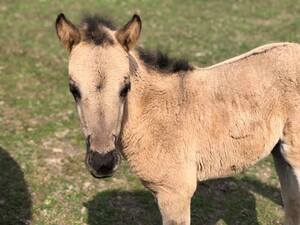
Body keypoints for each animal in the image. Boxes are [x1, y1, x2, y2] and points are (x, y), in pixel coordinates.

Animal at [55, 13, 300, 224]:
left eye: (125, 87)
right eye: (73, 89)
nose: (102, 162)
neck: (154, 113)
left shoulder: (175, 192)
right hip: (281, 155)